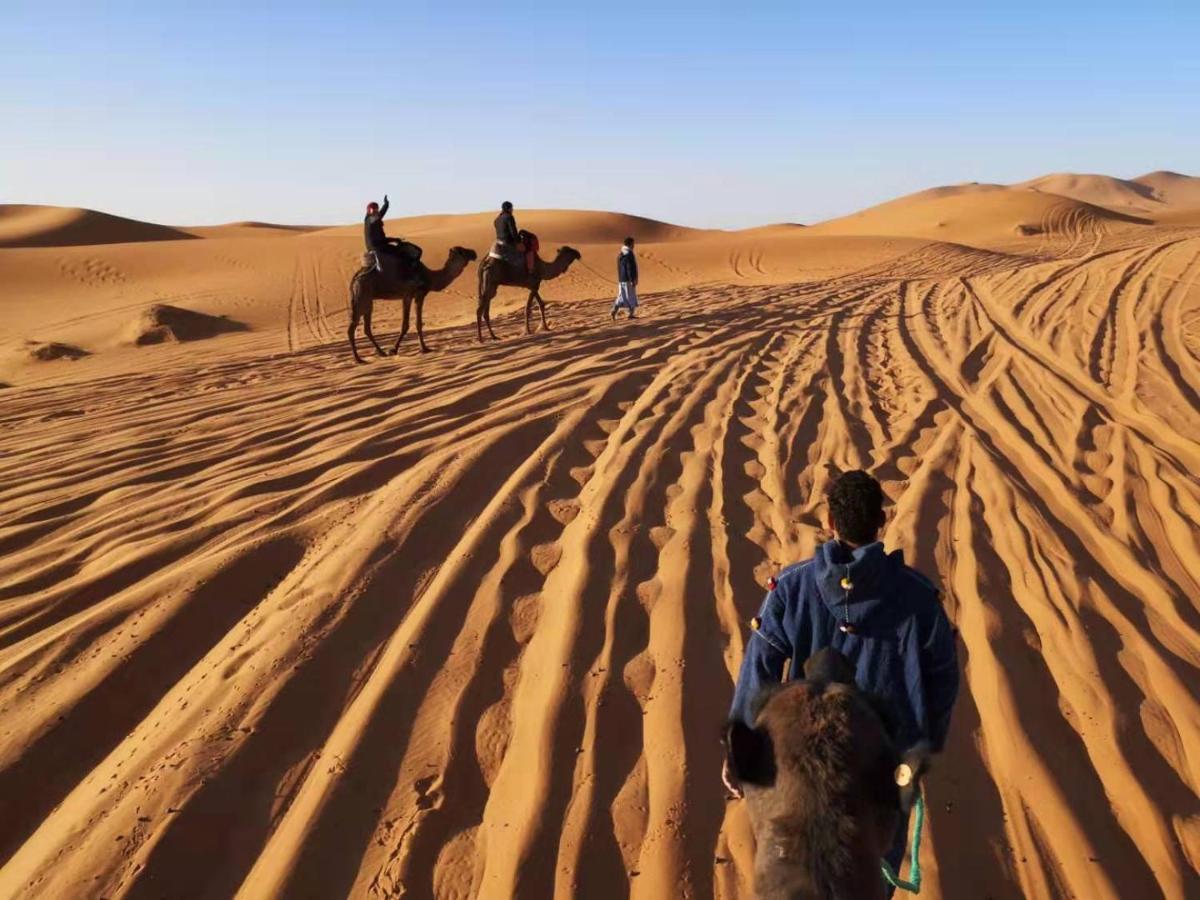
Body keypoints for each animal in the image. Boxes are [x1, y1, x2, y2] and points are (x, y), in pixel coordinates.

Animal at [348, 247, 477, 362]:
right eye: (462, 251)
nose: (474, 253)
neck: (430, 277)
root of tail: (355, 277)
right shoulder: (418, 294)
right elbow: (417, 324)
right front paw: (424, 349)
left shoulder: (407, 297)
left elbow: (405, 325)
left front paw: (393, 350)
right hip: (362, 296)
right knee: (352, 327)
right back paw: (358, 359)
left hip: (367, 300)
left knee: (366, 328)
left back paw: (381, 352)